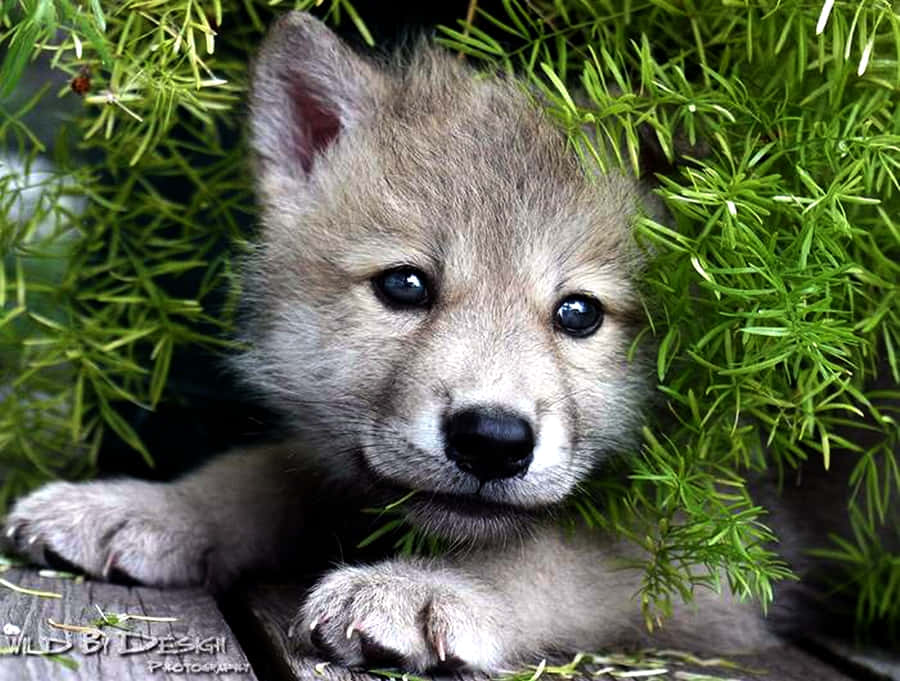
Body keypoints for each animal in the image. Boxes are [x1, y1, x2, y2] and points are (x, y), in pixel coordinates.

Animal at [4, 12, 794, 672]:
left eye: (578, 313)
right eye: (405, 286)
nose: (492, 440)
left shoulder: (718, 556)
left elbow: (549, 552)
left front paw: (427, 589)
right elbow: (267, 468)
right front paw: (146, 507)